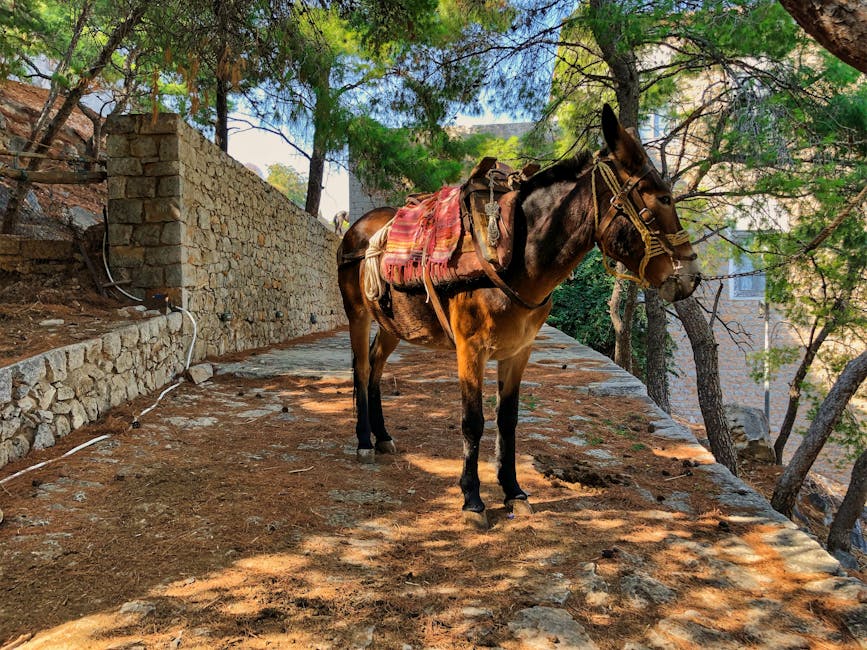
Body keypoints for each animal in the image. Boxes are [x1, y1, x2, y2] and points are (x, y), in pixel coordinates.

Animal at [336, 104, 700, 524]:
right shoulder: (471, 350)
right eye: (663, 198)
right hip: (357, 314)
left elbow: (507, 420)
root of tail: (357, 229)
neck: (513, 255)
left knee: (377, 368)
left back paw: (382, 436)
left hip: (393, 325)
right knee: (363, 368)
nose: (690, 275)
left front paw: (513, 491)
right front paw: (472, 498)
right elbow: (473, 422)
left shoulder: (519, 350)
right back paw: (364, 440)